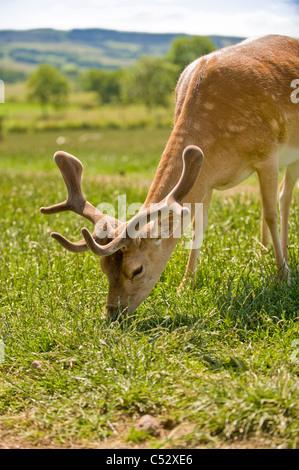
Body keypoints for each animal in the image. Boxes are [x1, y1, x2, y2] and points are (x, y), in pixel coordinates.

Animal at [40, 35, 299, 318]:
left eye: (136, 270)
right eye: (103, 268)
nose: (113, 314)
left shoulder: (267, 155)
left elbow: (271, 214)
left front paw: (283, 278)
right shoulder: (204, 179)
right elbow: (198, 226)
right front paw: (186, 286)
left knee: (283, 198)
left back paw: (284, 260)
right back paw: (263, 254)